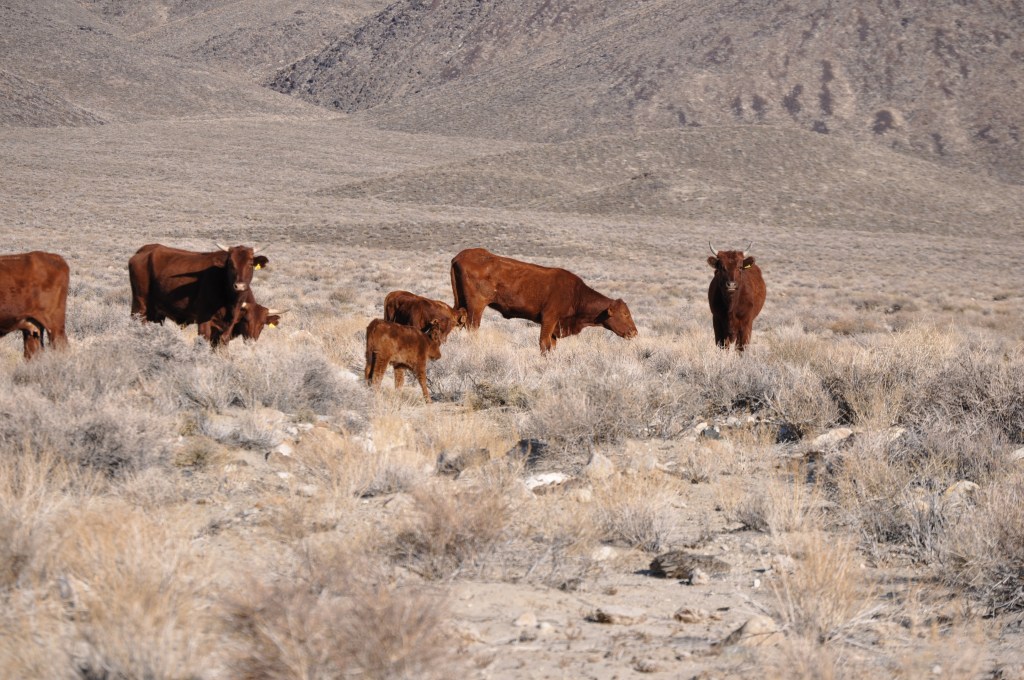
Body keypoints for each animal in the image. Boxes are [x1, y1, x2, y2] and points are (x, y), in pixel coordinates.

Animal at [128, 243, 268, 345]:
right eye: (230, 264)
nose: (239, 286)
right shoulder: (204, 319)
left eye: (250, 264)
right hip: (139, 304)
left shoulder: (227, 326)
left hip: (156, 311)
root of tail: (145, 250)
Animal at [450, 247, 638, 352]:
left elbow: (551, 346)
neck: (575, 295)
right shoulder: (549, 319)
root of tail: (460, 255)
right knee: (472, 328)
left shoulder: (555, 327)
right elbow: (544, 344)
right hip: (476, 307)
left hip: (462, 304)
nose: (634, 332)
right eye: (625, 314)